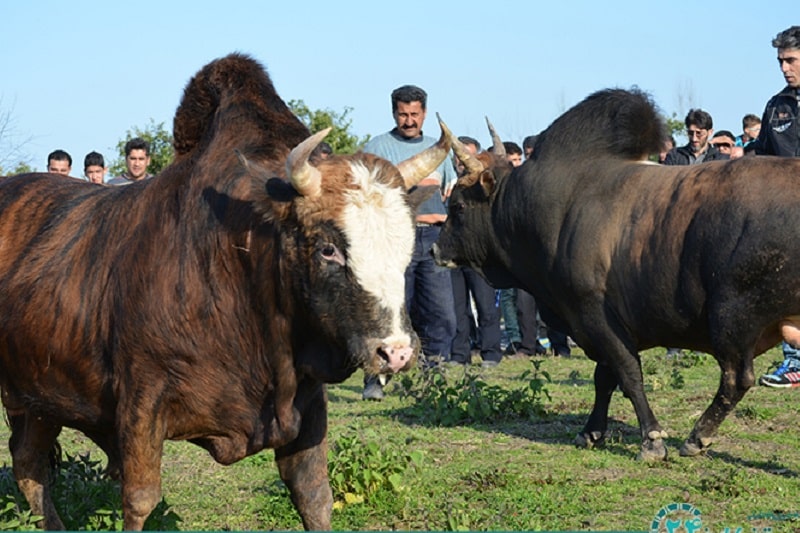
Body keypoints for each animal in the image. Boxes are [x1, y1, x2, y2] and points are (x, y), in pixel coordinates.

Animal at [0, 53, 450, 528]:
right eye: (328, 248)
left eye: (407, 242)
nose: (396, 352)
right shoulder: (141, 403)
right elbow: (140, 500)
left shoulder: (307, 404)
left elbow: (313, 495)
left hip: (39, 396)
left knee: (28, 462)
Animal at [434, 88, 800, 462]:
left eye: (458, 206)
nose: (435, 250)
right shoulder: (598, 323)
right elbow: (604, 377)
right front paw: (591, 431)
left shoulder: (594, 312)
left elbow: (627, 373)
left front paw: (651, 439)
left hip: (731, 317)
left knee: (736, 378)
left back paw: (698, 435)